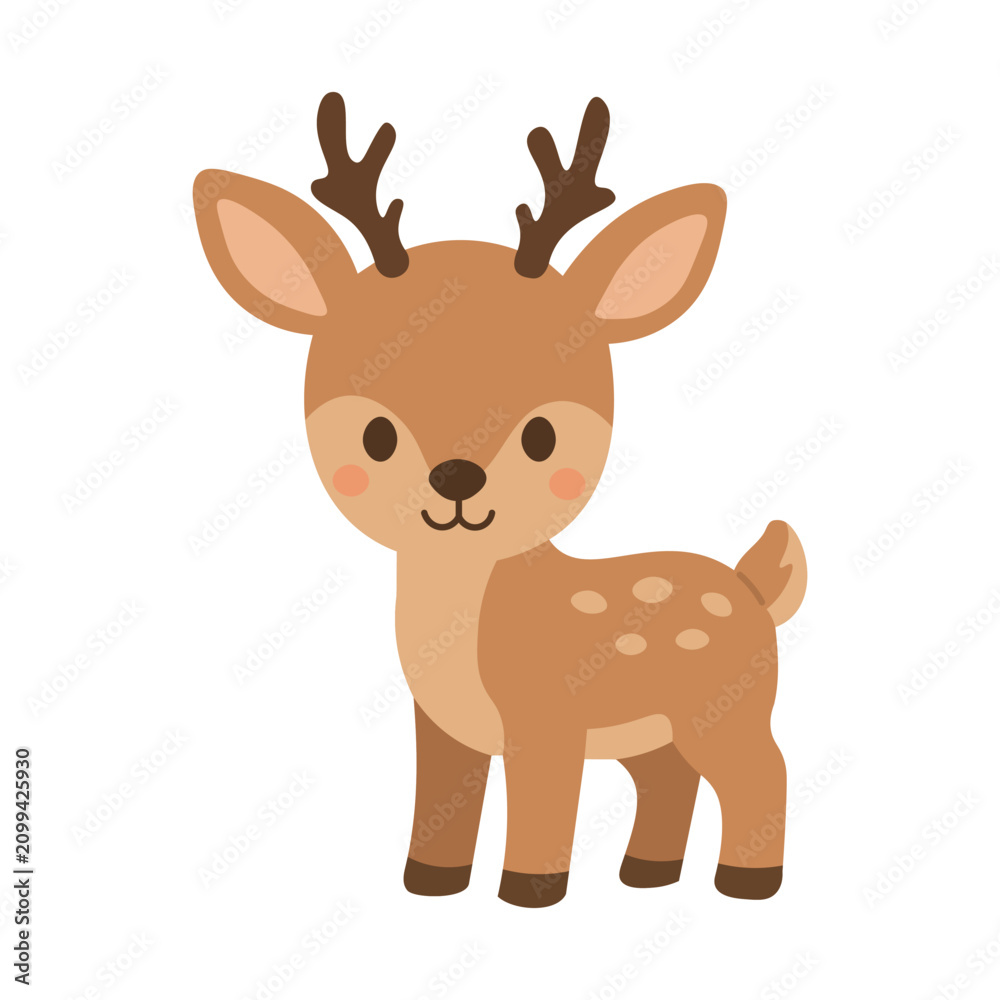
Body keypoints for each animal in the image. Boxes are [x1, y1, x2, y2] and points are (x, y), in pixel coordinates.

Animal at [192, 93, 806, 908]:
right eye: (377, 435)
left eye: (542, 436)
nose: (456, 478)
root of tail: (753, 585)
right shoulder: (443, 729)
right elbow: (441, 804)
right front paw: (430, 883)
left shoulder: (547, 722)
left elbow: (543, 805)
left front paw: (530, 890)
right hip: (656, 730)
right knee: (669, 781)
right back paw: (646, 874)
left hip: (727, 707)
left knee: (763, 772)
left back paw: (745, 882)